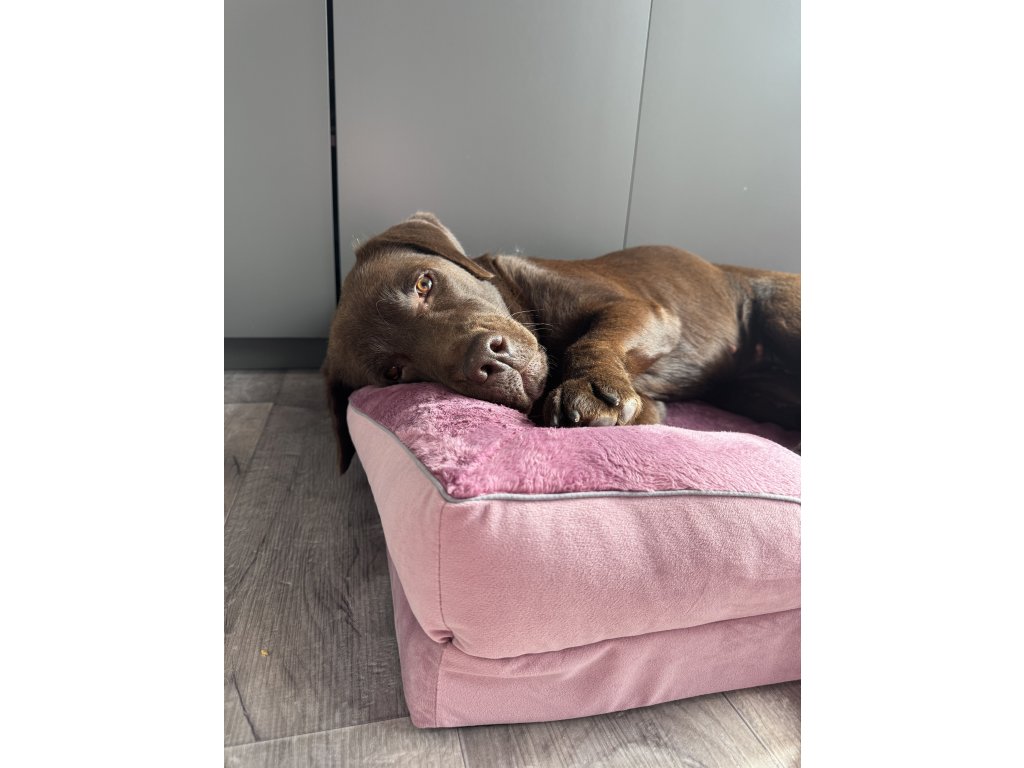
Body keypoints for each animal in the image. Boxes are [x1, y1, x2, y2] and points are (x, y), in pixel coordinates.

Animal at [324, 212, 800, 472]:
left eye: (424, 283)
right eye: (394, 371)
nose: (485, 360)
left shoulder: (643, 310)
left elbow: (589, 342)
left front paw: (588, 388)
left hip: (780, 311)